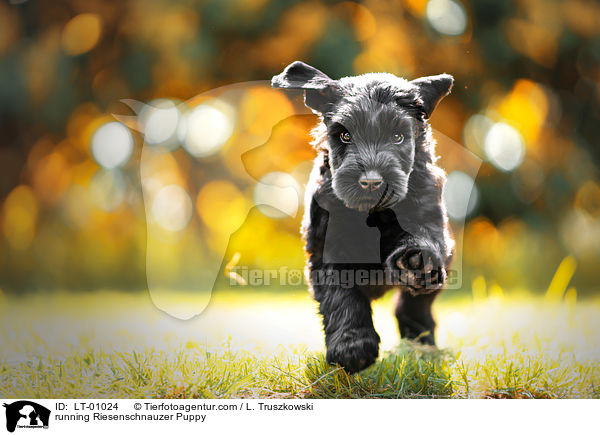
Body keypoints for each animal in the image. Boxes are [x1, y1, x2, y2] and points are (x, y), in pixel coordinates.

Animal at [272, 61, 454, 374]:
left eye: (398, 136)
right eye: (345, 135)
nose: (371, 182)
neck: (371, 214)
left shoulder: (428, 218)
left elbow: (423, 241)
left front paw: (415, 262)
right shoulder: (326, 249)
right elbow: (341, 296)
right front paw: (352, 347)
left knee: (414, 308)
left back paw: (422, 346)